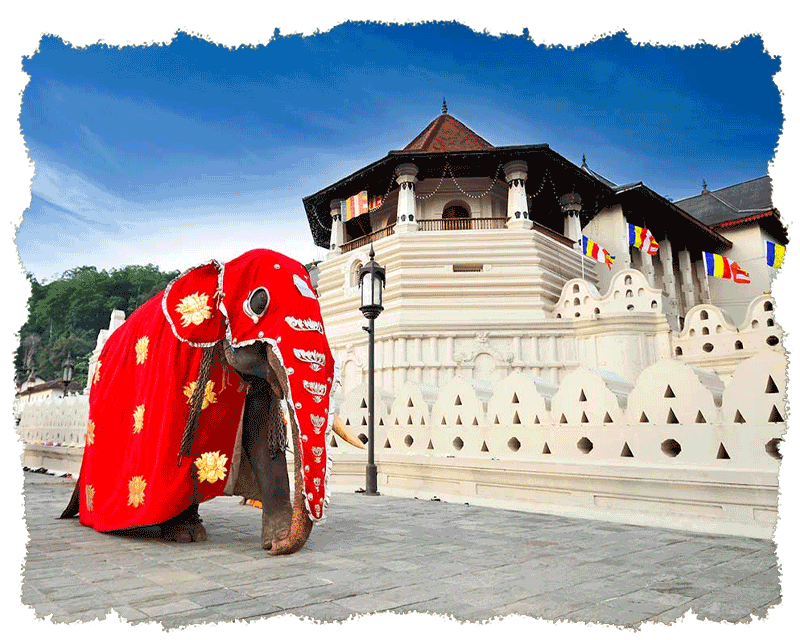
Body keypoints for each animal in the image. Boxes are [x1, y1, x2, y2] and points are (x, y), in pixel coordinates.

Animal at [61, 250, 360, 556]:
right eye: (259, 301)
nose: (280, 546)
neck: (221, 271)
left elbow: (261, 435)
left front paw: (274, 540)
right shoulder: (178, 361)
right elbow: (177, 446)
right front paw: (184, 534)